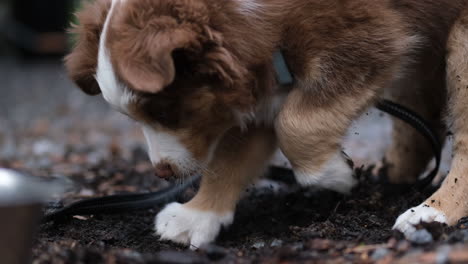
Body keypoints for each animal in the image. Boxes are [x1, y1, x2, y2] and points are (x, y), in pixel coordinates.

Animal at [67, 0, 468, 248]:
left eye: (165, 114)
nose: (162, 173)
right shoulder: (259, 80)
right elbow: (230, 158)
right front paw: (196, 216)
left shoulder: (369, 37)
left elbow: (295, 125)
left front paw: (336, 175)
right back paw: (390, 182)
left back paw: (431, 212)